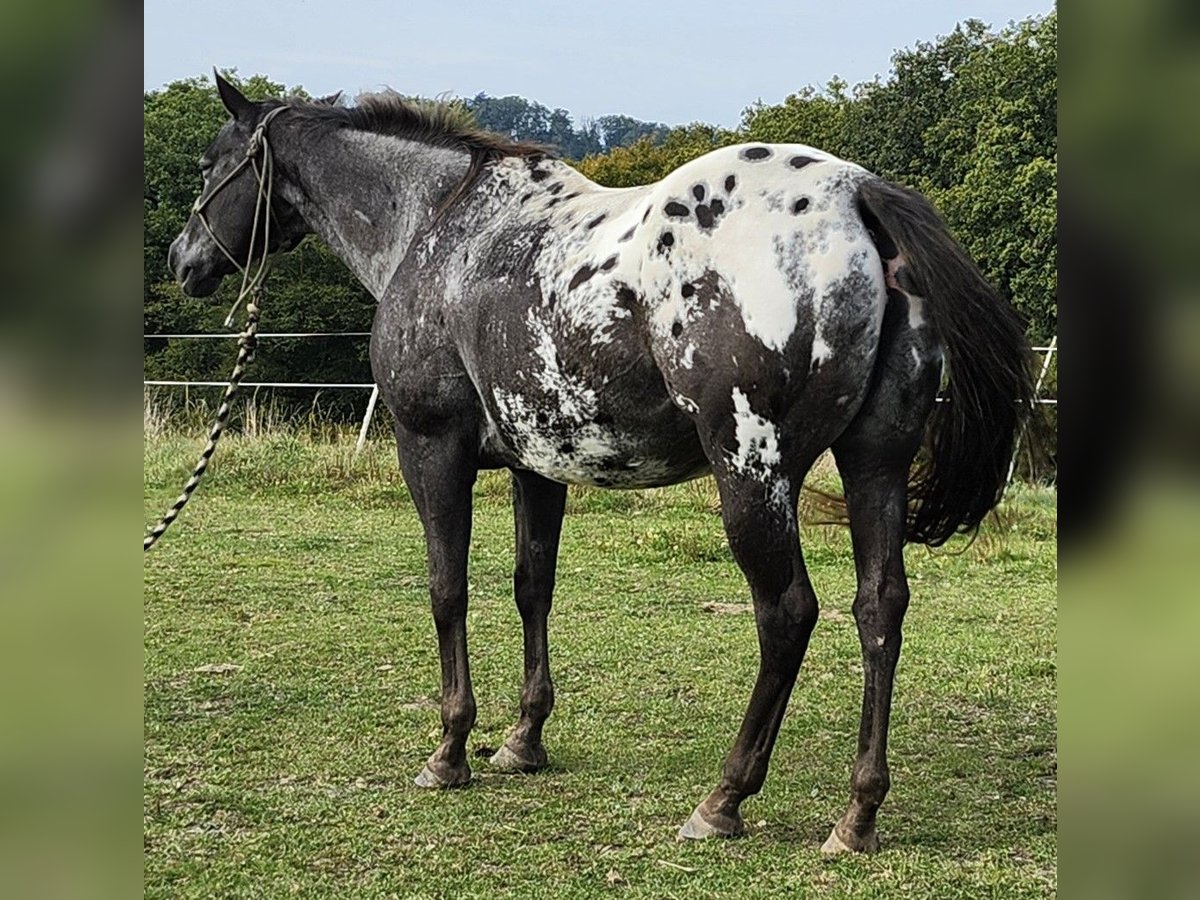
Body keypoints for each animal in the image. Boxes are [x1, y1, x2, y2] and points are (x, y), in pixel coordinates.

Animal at [164, 74, 1036, 854]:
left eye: (210, 165)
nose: (182, 260)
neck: (438, 226)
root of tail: (856, 195)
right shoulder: (536, 467)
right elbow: (532, 588)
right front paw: (523, 740)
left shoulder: (430, 448)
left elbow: (448, 590)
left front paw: (450, 749)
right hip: (874, 464)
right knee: (878, 609)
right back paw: (857, 815)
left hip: (750, 472)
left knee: (787, 613)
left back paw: (723, 799)